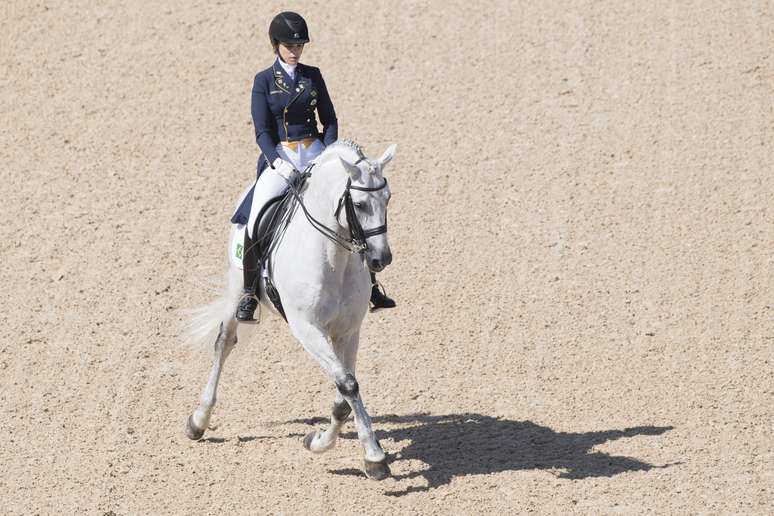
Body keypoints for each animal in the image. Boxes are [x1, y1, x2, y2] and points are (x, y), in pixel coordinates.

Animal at [185, 140, 398, 480]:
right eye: (360, 204)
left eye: (388, 198)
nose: (381, 258)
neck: (333, 257)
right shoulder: (308, 329)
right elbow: (348, 384)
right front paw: (374, 457)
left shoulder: (348, 331)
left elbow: (345, 393)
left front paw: (322, 441)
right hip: (236, 289)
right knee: (224, 344)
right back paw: (198, 420)